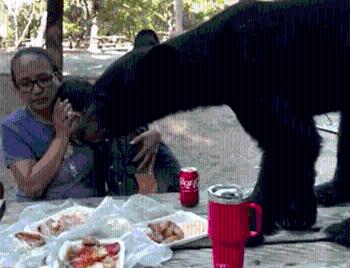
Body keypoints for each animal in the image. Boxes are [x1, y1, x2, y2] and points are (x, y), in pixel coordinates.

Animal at [93, 0, 350, 234]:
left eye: (104, 97)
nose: (89, 127)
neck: (218, 61)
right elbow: (301, 149)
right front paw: (299, 214)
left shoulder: (259, 82)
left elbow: (291, 139)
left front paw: (251, 221)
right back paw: (330, 191)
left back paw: (341, 229)